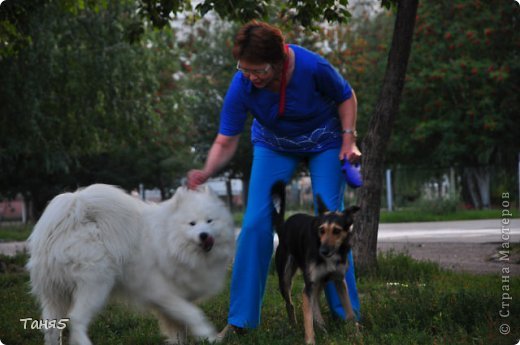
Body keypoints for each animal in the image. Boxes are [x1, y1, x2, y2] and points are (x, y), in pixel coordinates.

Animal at [26, 183, 234, 344]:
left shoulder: (176, 299)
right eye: (192, 223)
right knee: (76, 319)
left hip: (55, 293)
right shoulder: (162, 293)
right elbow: (194, 314)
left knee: (51, 326)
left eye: (210, 221)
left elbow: (179, 328)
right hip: (95, 285)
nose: (204, 235)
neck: (170, 241)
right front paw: (209, 337)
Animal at [272, 181, 358, 342]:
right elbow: (307, 319)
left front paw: (355, 332)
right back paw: (294, 326)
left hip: (319, 281)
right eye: (321, 230)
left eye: (337, 231)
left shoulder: (339, 280)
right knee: (290, 304)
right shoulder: (308, 288)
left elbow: (349, 310)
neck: (330, 257)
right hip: (285, 279)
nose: (322, 251)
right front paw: (310, 340)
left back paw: (322, 326)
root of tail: (283, 227)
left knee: (315, 300)